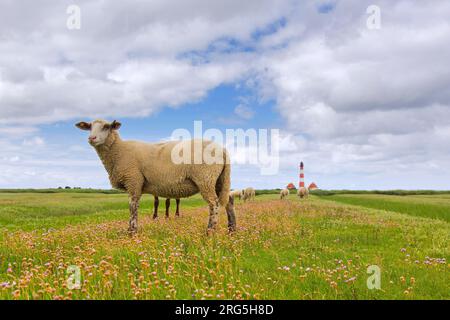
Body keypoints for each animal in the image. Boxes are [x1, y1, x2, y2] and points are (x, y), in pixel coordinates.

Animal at [74, 120, 236, 235]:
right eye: (89, 126)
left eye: (106, 126)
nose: (92, 138)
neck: (119, 151)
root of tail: (223, 149)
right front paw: (131, 230)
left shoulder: (133, 180)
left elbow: (133, 206)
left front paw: (132, 231)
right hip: (219, 179)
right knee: (228, 201)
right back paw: (232, 230)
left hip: (205, 178)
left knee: (214, 203)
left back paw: (210, 231)